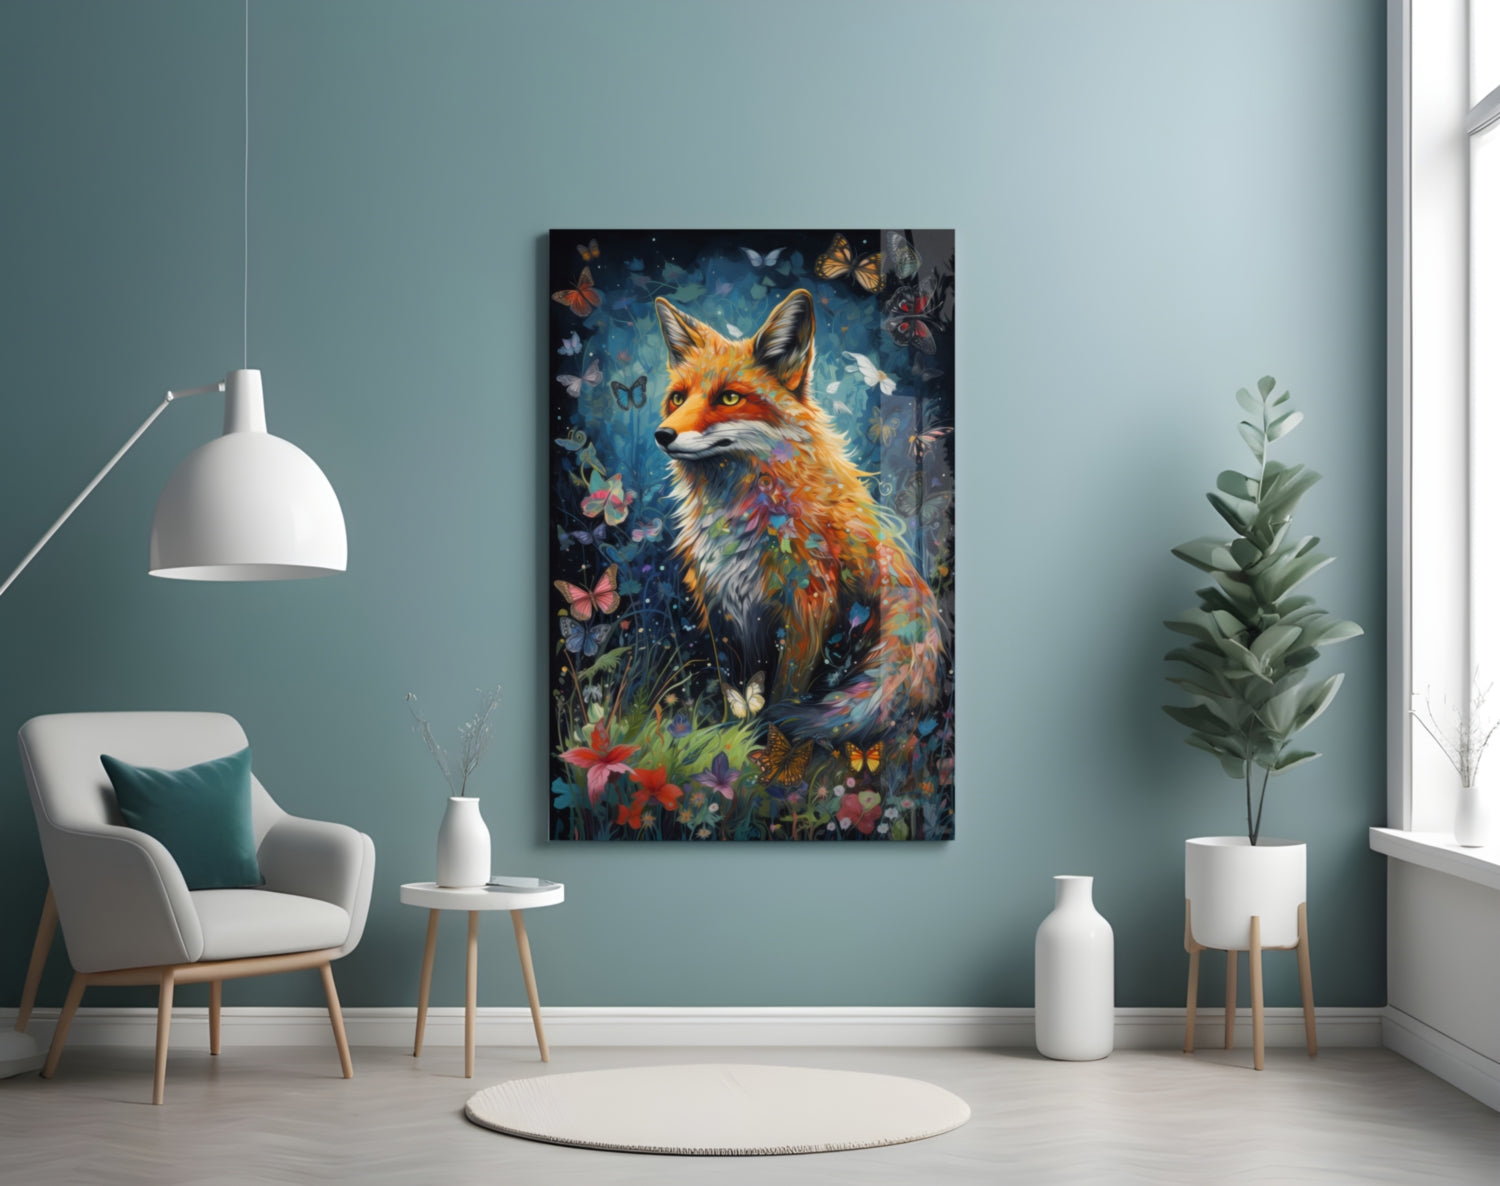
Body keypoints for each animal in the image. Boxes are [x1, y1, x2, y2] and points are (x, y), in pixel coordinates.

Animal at [652, 288, 946, 741]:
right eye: (678, 398)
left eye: (730, 397)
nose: (662, 435)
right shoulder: (722, 606)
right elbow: (734, 682)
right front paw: (734, 725)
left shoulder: (808, 607)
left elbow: (783, 691)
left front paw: (764, 740)